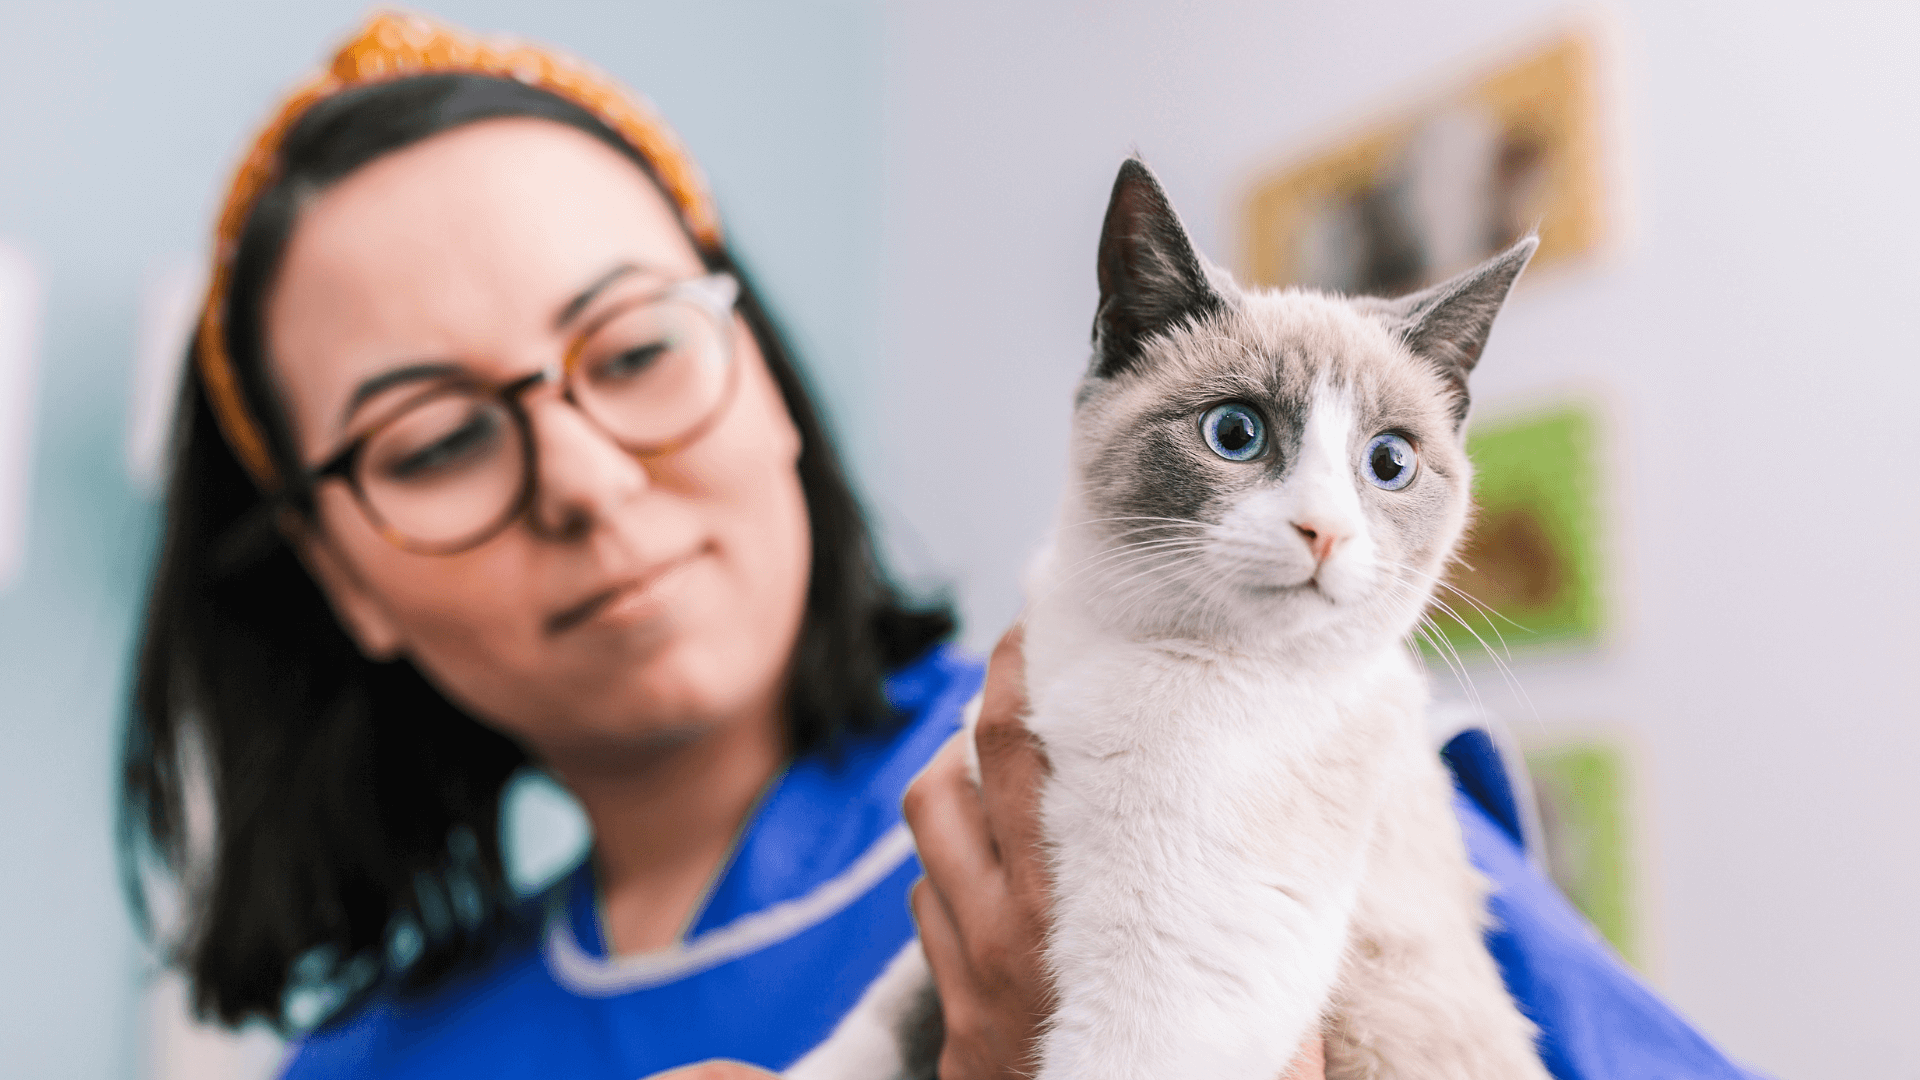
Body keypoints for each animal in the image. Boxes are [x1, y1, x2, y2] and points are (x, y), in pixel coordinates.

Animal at [787, 157, 1551, 1076]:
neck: (1128, 642)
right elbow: (886, 1016)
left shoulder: (1170, 995)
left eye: (1389, 461)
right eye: (1235, 433)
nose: (1325, 530)